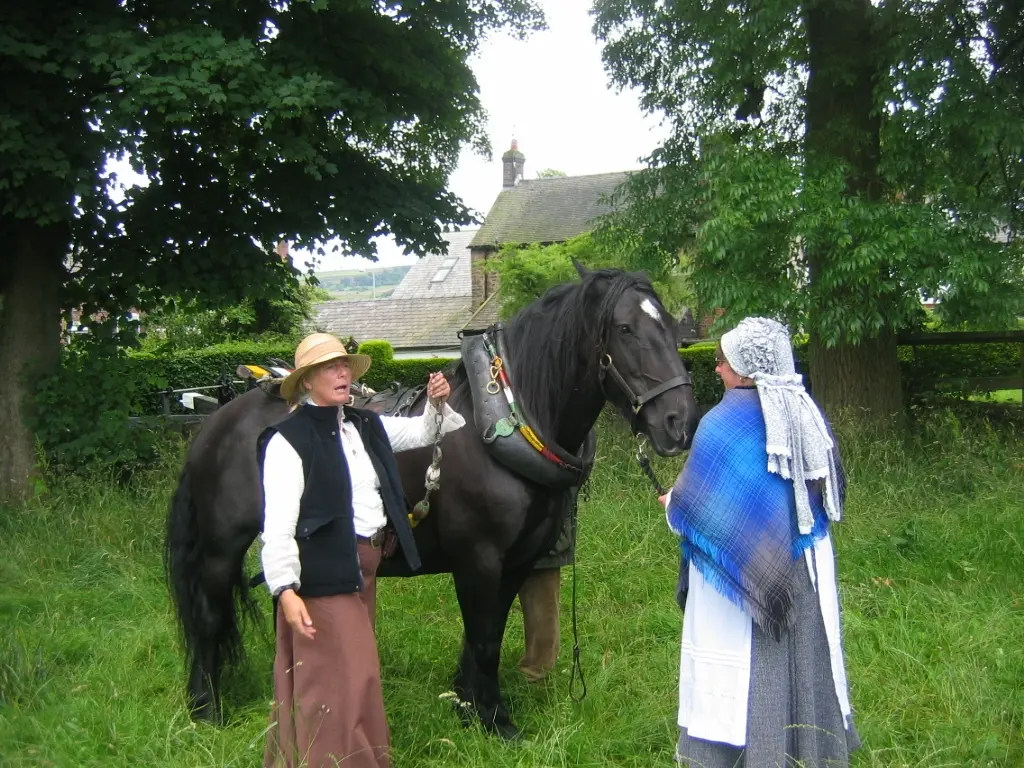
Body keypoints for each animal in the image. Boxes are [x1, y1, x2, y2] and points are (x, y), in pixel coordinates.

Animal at [165, 264, 696, 741]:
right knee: (207, 616)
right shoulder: (479, 558)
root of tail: (217, 422)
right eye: (624, 329)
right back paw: (206, 711)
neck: (502, 423)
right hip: (221, 547)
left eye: (673, 329)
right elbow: (483, 636)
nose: (680, 422)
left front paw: (468, 704)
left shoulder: (518, 560)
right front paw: (494, 720)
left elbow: (492, 630)